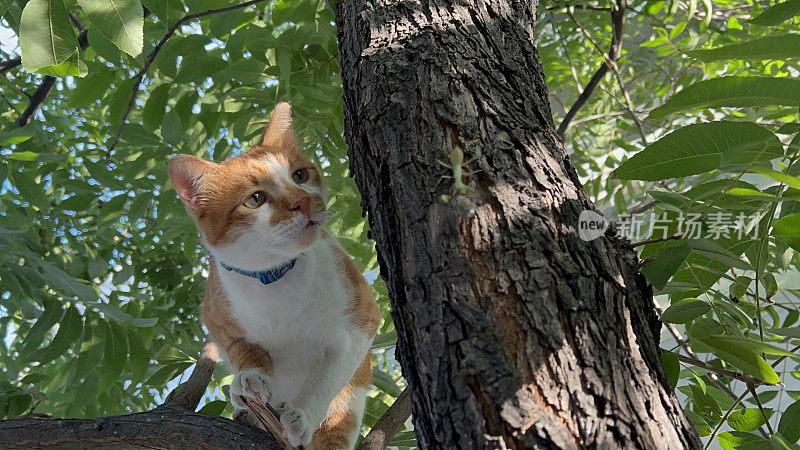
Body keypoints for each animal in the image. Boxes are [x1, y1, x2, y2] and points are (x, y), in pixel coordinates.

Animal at [167, 103, 380, 448]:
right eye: (256, 199)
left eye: (300, 175)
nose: (304, 201)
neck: (276, 279)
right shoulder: (216, 320)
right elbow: (242, 349)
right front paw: (252, 376)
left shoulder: (361, 324)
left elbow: (326, 378)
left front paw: (303, 414)